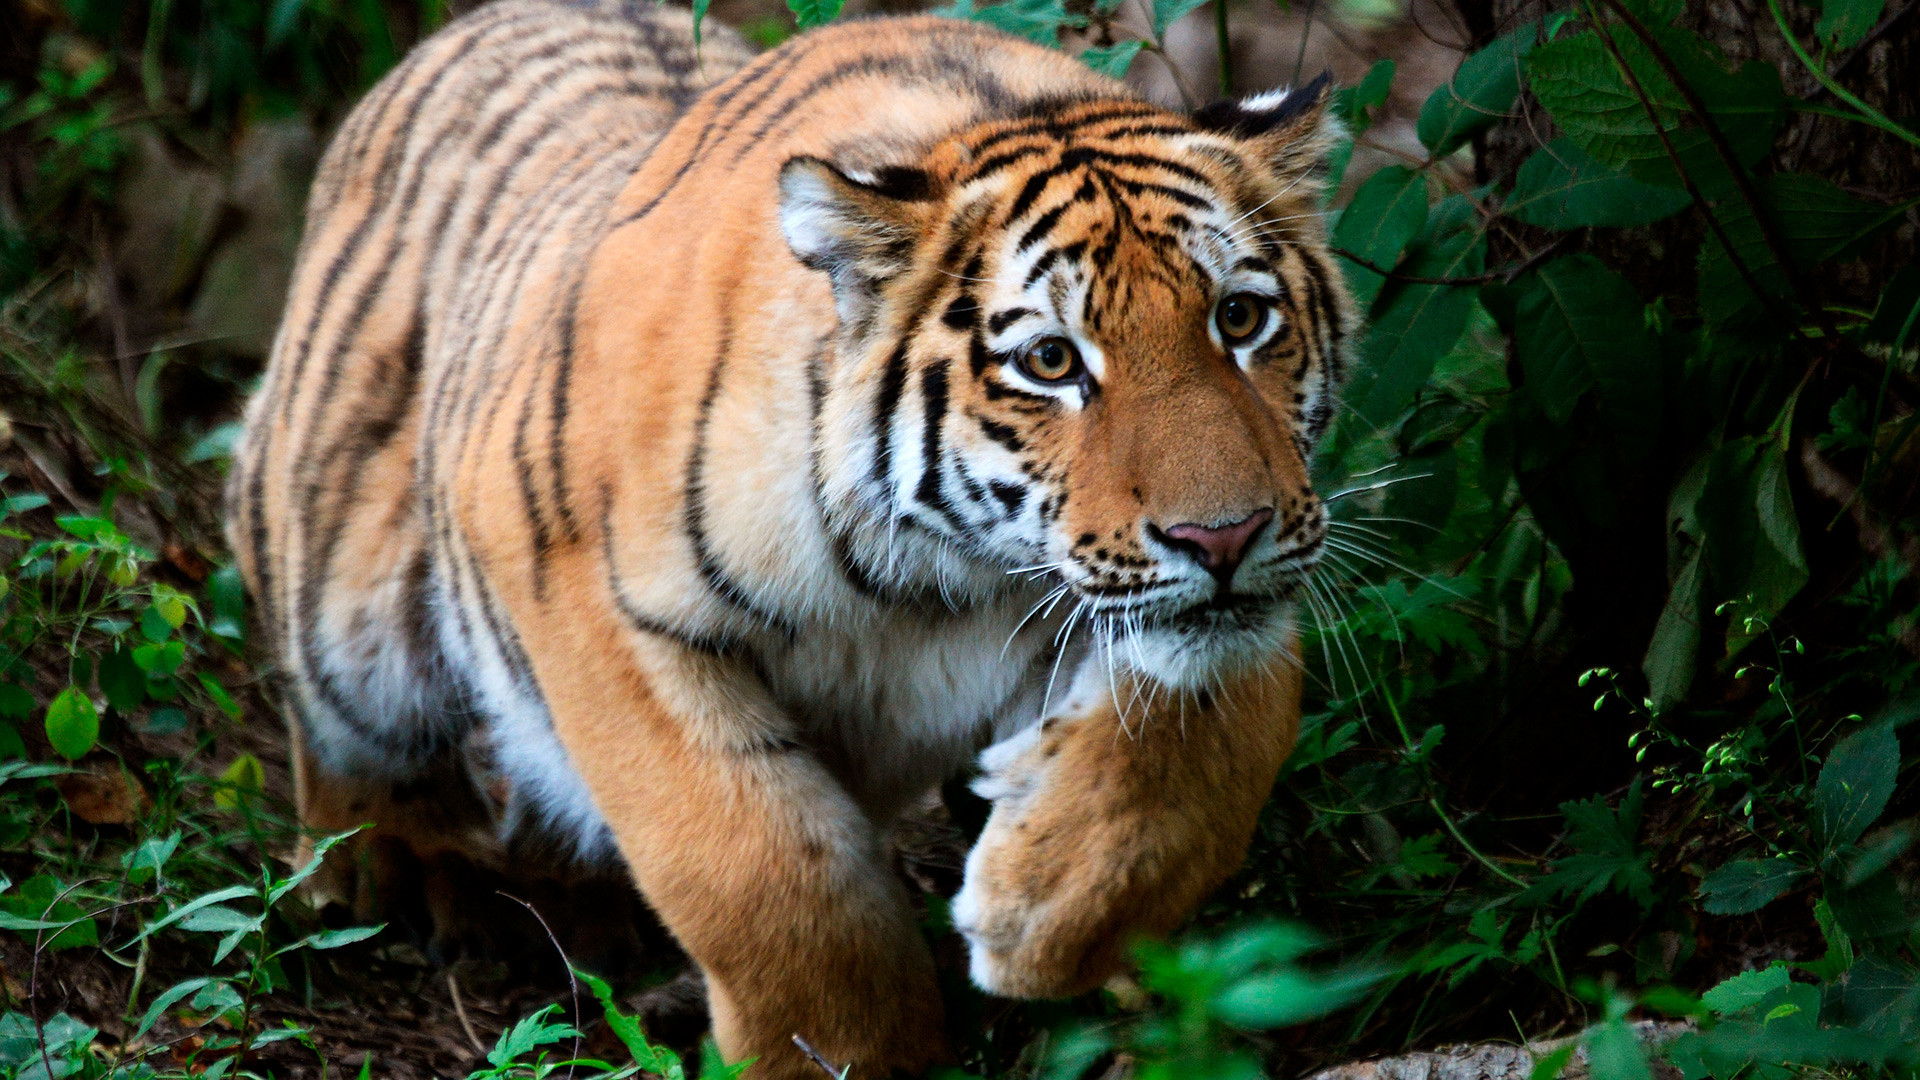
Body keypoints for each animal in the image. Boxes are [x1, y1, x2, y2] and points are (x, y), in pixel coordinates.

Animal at [225, 0, 1357, 1074]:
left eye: (1241, 319)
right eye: (1050, 360)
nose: (1223, 536)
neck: (946, 574)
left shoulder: (1253, 595)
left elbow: (1206, 753)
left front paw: (1040, 914)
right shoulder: (588, 594)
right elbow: (755, 867)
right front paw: (840, 1052)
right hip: (343, 593)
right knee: (347, 729)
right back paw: (401, 877)